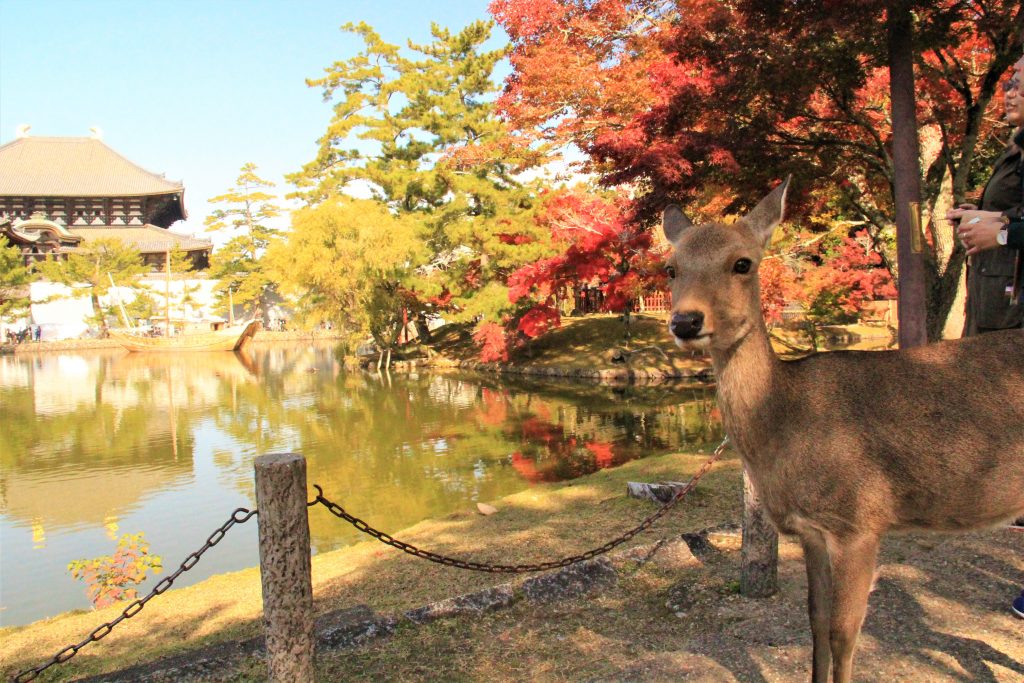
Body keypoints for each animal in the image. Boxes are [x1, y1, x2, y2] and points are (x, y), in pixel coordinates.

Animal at [663, 178, 1024, 683]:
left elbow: (844, 633)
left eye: (742, 262)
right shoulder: (811, 530)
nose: (685, 321)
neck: (788, 421)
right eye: (670, 267)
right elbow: (814, 620)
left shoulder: (859, 520)